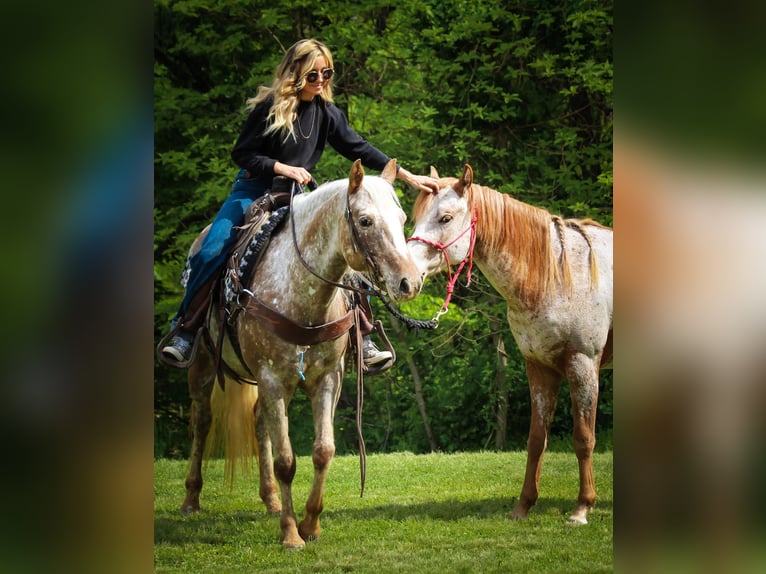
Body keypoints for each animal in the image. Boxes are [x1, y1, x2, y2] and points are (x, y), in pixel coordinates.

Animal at [180, 159, 424, 548]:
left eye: (401, 219)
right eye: (365, 221)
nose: (409, 282)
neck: (301, 294)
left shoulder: (327, 380)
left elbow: (323, 451)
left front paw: (310, 524)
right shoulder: (271, 379)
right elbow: (286, 461)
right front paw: (291, 535)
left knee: (259, 424)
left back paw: (272, 500)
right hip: (203, 364)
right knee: (202, 422)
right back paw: (191, 498)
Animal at [412, 164, 616, 524]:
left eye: (445, 218)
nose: (405, 270)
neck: (555, 273)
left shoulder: (583, 364)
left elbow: (583, 438)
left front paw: (582, 508)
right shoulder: (538, 366)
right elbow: (536, 440)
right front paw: (523, 506)